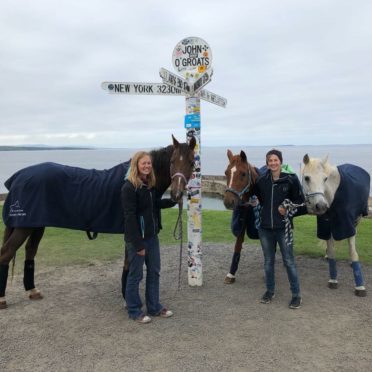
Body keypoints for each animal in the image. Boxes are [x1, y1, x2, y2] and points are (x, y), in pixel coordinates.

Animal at [0, 135, 196, 310]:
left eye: (192, 163)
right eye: (172, 161)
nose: (176, 194)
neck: (136, 180)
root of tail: (19, 176)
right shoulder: (131, 233)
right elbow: (128, 264)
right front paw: (127, 299)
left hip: (36, 224)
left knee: (30, 251)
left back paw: (32, 290)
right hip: (24, 226)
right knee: (6, 253)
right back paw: (2, 299)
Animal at [224, 150, 258, 284]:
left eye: (243, 173)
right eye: (226, 173)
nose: (228, 201)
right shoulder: (242, 223)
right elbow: (237, 245)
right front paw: (231, 274)